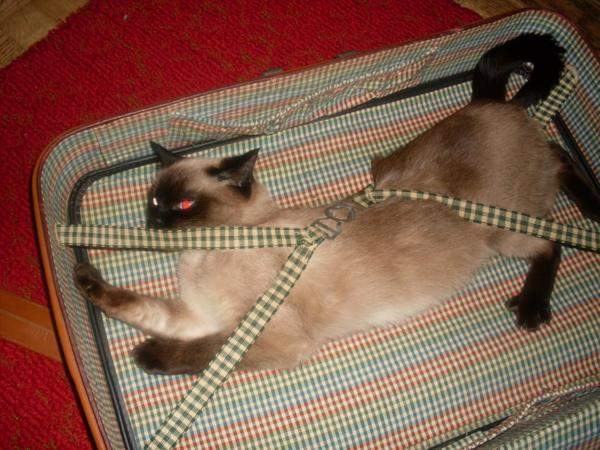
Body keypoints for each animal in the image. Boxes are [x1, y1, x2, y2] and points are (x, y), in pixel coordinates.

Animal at [74, 34, 600, 375]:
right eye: (154, 200)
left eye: (182, 205)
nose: (155, 221)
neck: (203, 253)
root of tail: (486, 106)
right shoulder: (196, 315)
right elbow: (136, 306)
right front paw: (85, 279)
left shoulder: (267, 335)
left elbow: (212, 353)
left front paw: (148, 356)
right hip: (391, 167)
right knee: (556, 157)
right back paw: (589, 207)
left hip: (502, 232)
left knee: (553, 230)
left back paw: (536, 299)